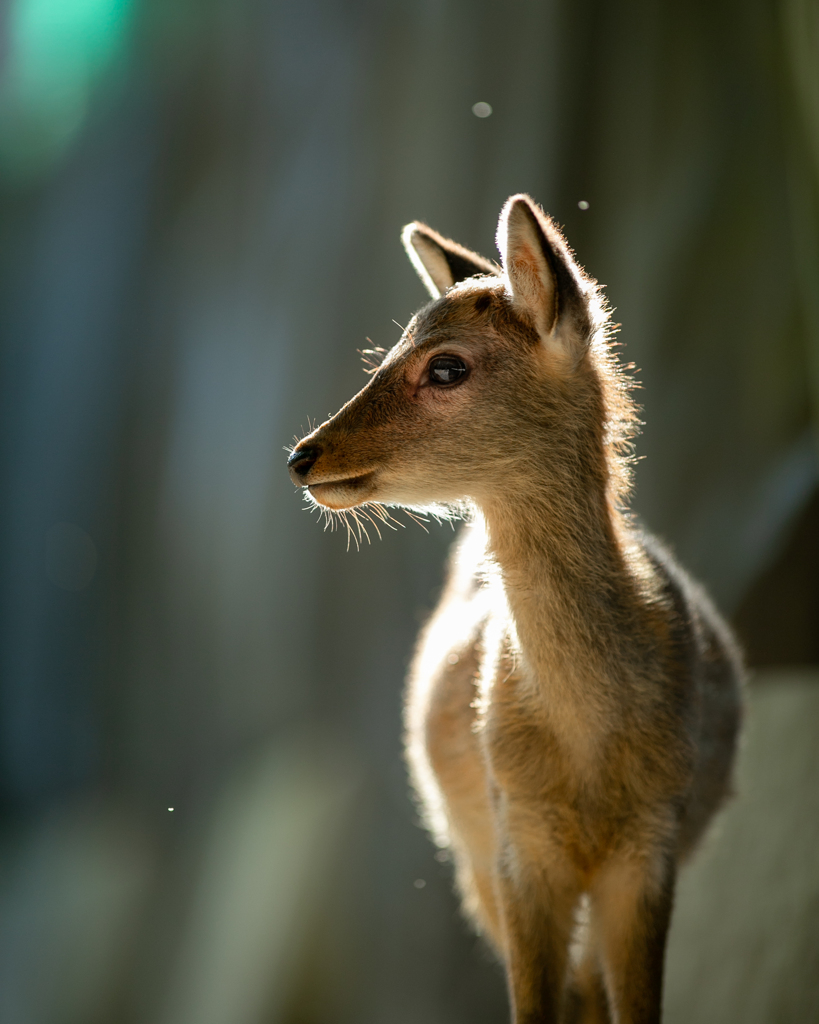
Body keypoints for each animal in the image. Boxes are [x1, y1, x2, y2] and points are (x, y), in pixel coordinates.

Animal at [286, 193, 741, 1024]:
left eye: (446, 365)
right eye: (389, 348)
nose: (304, 456)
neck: (588, 751)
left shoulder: (652, 848)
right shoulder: (516, 845)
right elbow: (534, 1005)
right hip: (468, 860)